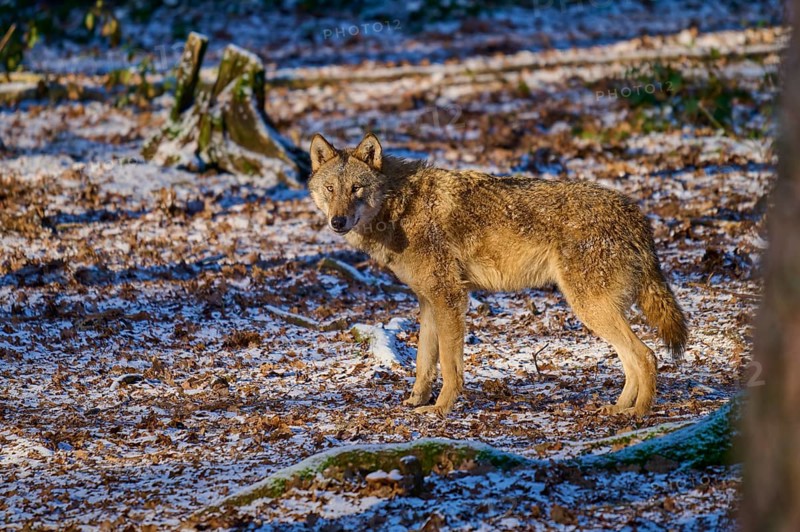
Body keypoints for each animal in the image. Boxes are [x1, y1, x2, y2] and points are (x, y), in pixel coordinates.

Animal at [307, 132, 688, 418]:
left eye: (356, 188)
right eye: (331, 189)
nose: (337, 221)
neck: (399, 207)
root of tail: (635, 213)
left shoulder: (450, 298)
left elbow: (450, 366)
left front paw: (440, 409)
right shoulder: (429, 302)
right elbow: (423, 362)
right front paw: (417, 401)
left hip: (589, 308)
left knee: (646, 356)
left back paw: (639, 413)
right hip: (596, 309)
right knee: (632, 359)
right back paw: (620, 407)